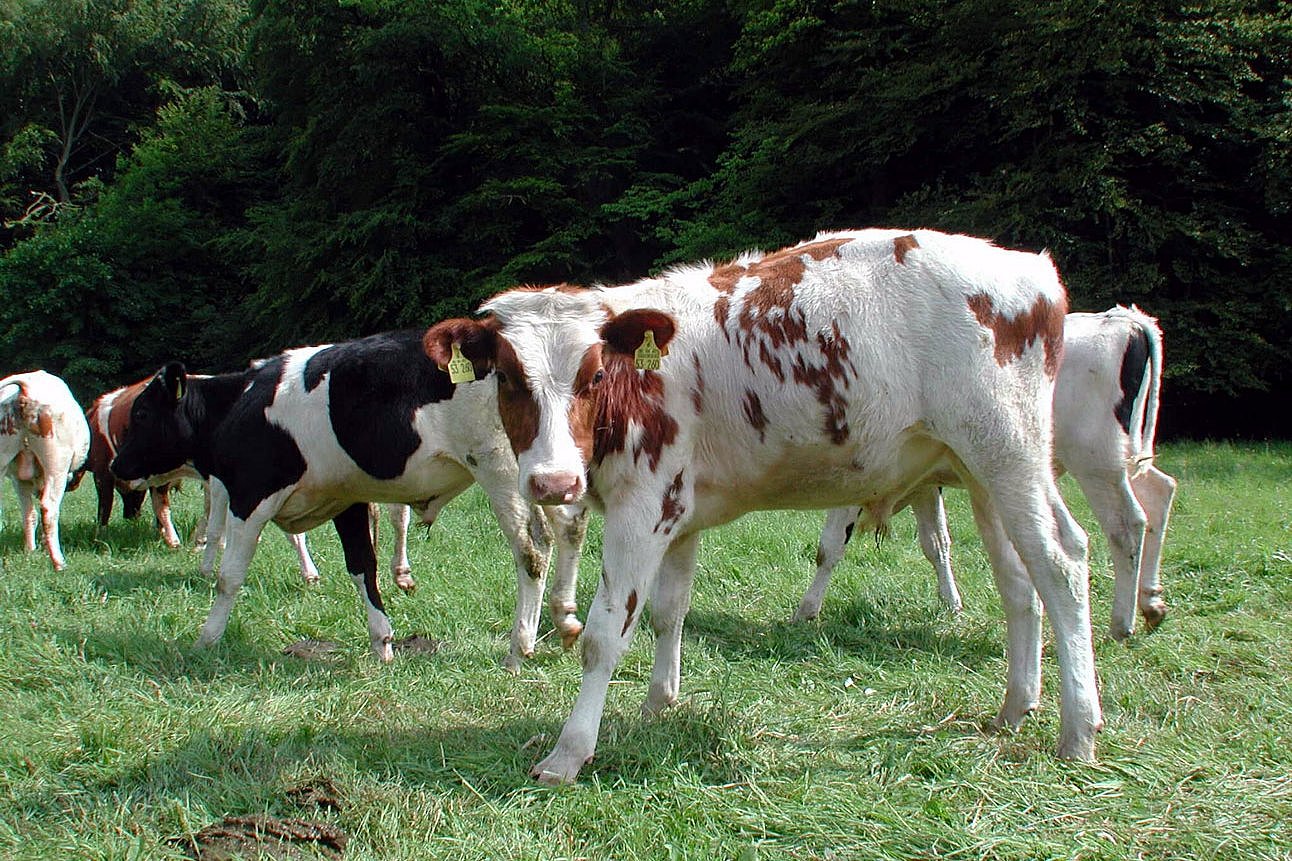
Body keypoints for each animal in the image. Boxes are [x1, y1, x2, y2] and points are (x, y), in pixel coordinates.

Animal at [1, 369, 89, 568]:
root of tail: (26, 387)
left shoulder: (19, 480)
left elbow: (29, 515)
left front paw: (31, 551)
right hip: (57, 463)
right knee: (49, 508)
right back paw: (59, 563)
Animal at [428, 226, 1105, 775]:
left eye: (594, 375)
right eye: (508, 379)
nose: (552, 485)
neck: (640, 385)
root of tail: (1029, 269)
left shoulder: (641, 509)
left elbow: (604, 635)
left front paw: (569, 752)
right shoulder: (679, 511)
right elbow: (669, 612)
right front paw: (658, 705)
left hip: (1010, 452)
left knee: (1062, 561)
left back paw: (1078, 730)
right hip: (980, 469)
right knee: (1019, 580)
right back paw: (1015, 707)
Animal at [790, 306, 1178, 636]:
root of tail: (1120, 319)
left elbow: (829, 546)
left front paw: (806, 610)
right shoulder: (924, 485)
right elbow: (936, 543)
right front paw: (952, 603)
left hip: (1096, 459)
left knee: (1128, 523)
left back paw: (1122, 622)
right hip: (1126, 459)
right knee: (1161, 493)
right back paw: (1151, 602)